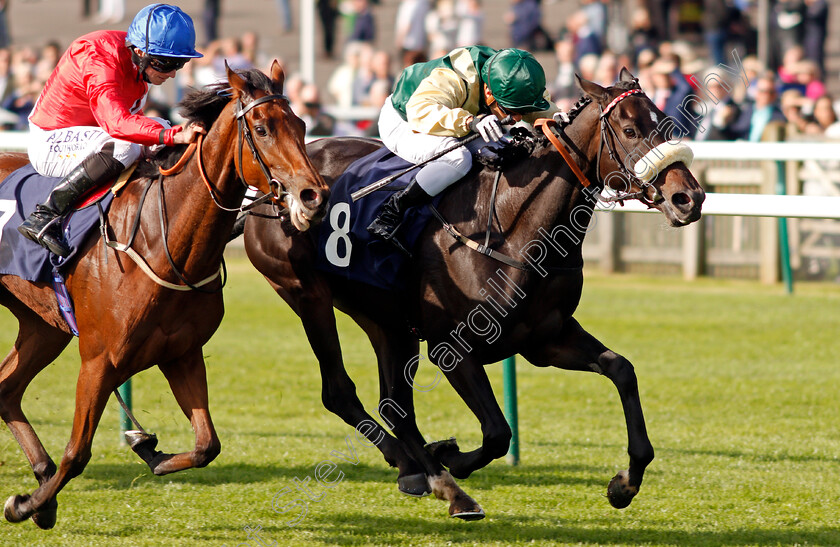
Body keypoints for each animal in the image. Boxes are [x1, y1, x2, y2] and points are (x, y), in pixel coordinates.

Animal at [0, 62, 328, 528]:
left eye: (301, 125)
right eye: (263, 129)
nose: (313, 196)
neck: (164, 238)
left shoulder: (182, 354)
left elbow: (207, 445)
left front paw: (147, 447)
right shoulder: (99, 361)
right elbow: (77, 453)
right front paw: (29, 503)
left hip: (44, 326)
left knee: (7, 390)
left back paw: (41, 471)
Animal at [246, 70, 704, 520]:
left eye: (667, 123)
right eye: (629, 130)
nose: (689, 198)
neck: (511, 228)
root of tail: (268, 186)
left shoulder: (545, 339)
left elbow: (621, 369)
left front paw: (624, 484)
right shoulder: (452, 349)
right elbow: (498, 432)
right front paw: (451, 457)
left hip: (386, 320)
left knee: (395, 403)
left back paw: (418, 472)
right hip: (306, 294)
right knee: (341, 391)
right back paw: (440, 481)